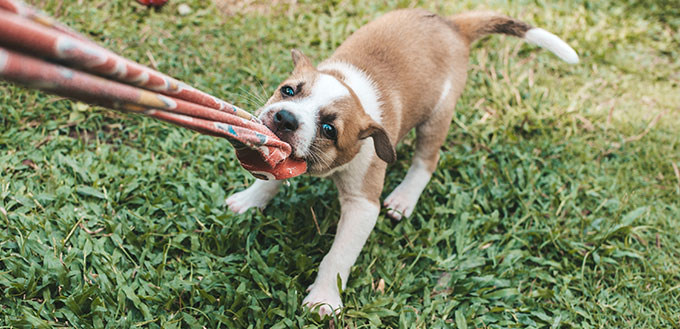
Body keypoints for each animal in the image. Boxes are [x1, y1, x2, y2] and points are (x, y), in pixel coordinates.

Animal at [226, 9, 576, 314]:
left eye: (328, 129)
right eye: (288, 91)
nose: (285, 118)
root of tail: (452, 25)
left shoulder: (363, 206)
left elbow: (338, 256)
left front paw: (324, 298)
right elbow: (270, 177)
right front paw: (250, 200)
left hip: (436, 118)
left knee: (427, 160)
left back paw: (406, 197)